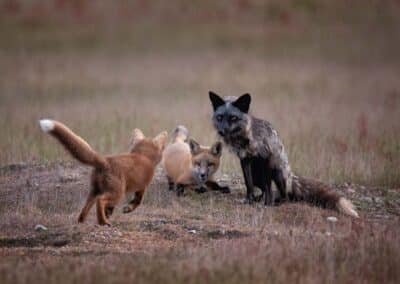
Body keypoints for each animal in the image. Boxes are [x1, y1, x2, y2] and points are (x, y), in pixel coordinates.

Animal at [209, 91, 360, 217]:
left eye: (233, 118)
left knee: (285, 196)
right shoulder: (245, 159)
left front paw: (267, 205)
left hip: (278, 173)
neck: (247, 138)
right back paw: (259, 199)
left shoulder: (266, 159)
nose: (221, 131)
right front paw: (249, 200)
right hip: (257, 175)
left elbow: (268, 188)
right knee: (263, 189)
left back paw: (277, 201)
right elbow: (248, 184)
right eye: (220, 117)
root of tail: (291, 175)